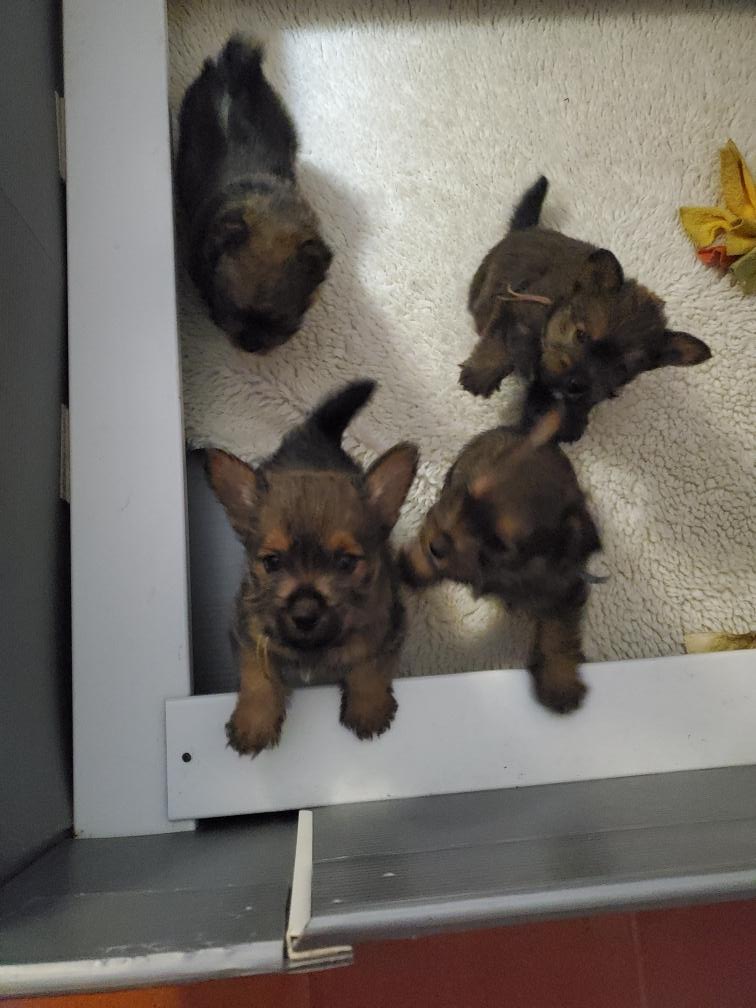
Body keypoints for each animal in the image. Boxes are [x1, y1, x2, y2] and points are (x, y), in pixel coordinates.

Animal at [207, 381, 418, 754]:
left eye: (346, 562)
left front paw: (368, 708)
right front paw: (254, 722)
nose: (305, 615)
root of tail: (312, 432)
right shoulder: (249, 631)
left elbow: (369, 663)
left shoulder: (385, 626)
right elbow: (257, 674)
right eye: (272, 562)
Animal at [400, 409, 600, 713]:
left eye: (497, 543)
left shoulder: (565, 590)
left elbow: (559, 633)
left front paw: (560, 682)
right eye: (467, 495)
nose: (435, 545)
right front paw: (415, 564)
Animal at [461, 176, 712, 441]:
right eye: (580, 335)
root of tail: (526, 229)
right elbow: (497, 340)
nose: (575, 384)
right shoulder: (513, 302)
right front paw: (482, 373)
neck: (552, 314)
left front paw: (568, 421)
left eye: (621, 368)